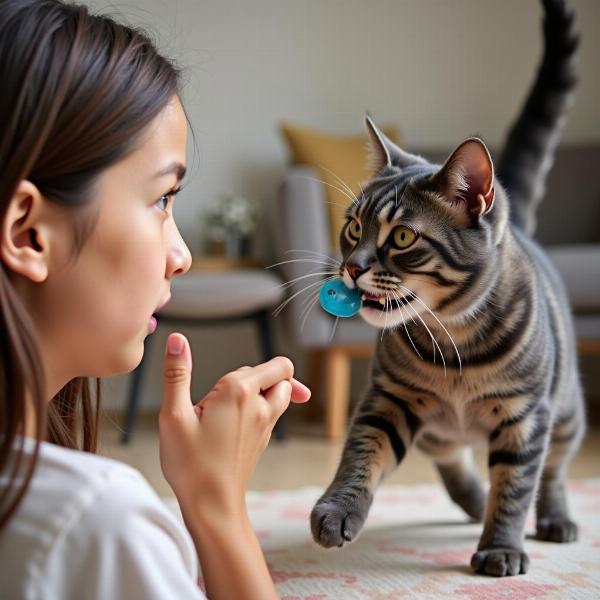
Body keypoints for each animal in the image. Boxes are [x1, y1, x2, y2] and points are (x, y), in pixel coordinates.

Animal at [312, 0, 584, 576]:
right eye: (352, 227)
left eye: (402, 236)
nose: (351, 268)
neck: (453, 340)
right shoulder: (388, 399)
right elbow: (360, 455)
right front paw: (337, 509)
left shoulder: (526, 417)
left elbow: (517, 485)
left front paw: (501, 547)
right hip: (438, 429)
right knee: (454, 460)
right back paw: (474, 499)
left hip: (567, 411)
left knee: (552, 471)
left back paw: (554, 518)